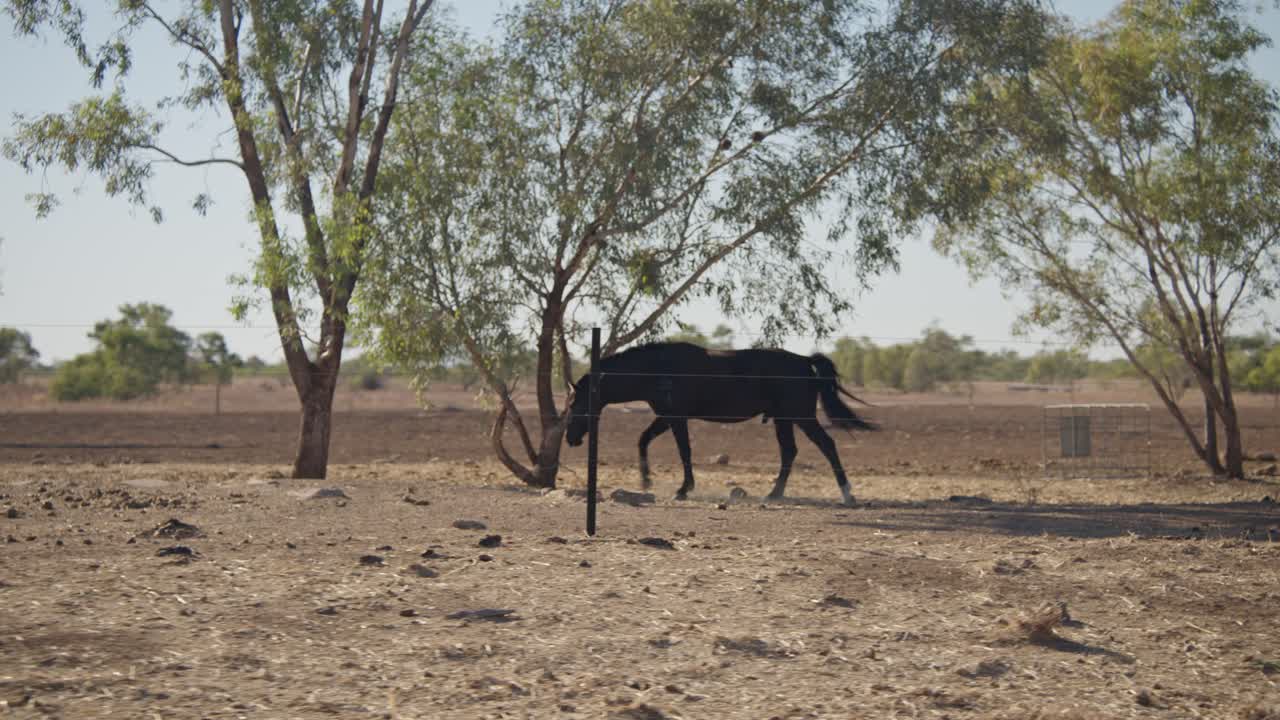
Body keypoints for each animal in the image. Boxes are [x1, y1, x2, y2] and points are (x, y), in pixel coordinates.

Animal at [564, 342, 876, 505]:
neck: (658, 368)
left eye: (575, 405)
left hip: (800, 417)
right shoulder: (666, 417)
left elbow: (684, 451)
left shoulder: (675, 418)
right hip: (784, 420)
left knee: (826, 445)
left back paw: (847, 494)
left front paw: (683, 489)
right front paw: (646, 480)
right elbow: (643, 440)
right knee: (790, 451)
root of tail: (803, 360)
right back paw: (775, 494)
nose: (571, 439)